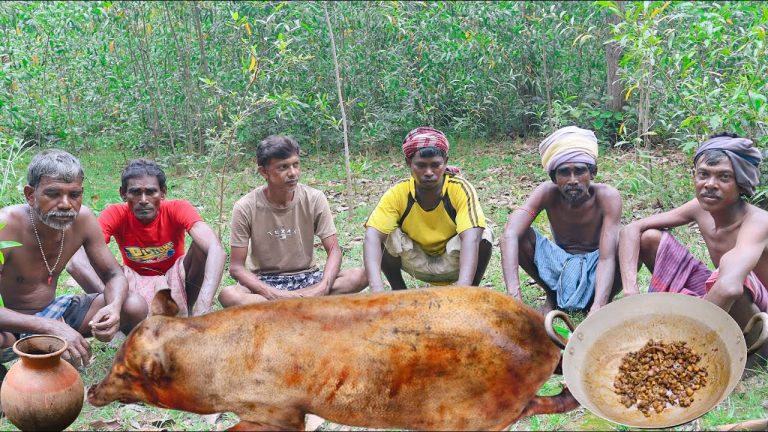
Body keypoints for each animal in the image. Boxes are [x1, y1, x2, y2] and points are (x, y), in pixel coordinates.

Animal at [88, 287, 578, 431]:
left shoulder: (276, 410)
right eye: (117, 362)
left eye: (126, 371)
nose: (92, 389)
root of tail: (545, 338)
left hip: (474, 416)